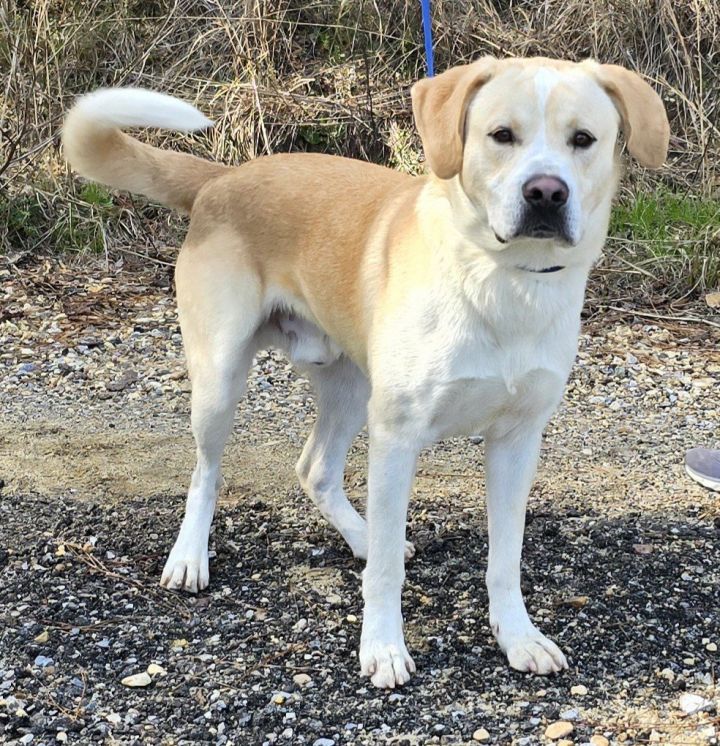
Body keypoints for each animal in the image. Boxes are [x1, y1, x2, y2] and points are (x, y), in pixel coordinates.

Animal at [63, 56, 668, 684]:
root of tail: (222, 178)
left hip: (352, 388)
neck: (501, 280)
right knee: (206, 473)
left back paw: (361, 536)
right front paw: (383, 647)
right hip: (220, 379)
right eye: (502, 135)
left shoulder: (517, 441)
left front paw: (518, 637)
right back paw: (189, 558)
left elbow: (505, 559)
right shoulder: (397, 436)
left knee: (315, 470)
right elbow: (384, 574)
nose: (546, 192)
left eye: (584, 140)